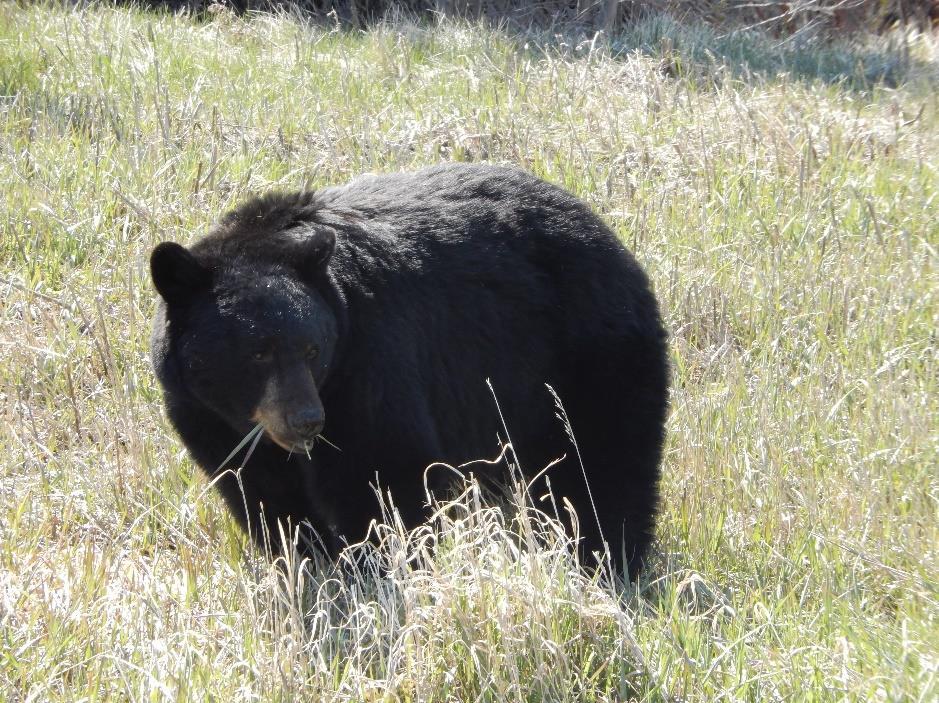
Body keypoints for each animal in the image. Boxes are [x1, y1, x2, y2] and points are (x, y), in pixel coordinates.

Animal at [151, 165, 668, 576]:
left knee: (602, 460)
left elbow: (381, 474)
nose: (306, 421)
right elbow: (266, 497)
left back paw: (607, 558)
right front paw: (310, 569)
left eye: (312, 349)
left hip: (586, 352)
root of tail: (605, 233)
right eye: (259, 353)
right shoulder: (204, 414)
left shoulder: (368, 363)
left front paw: (377, 570)